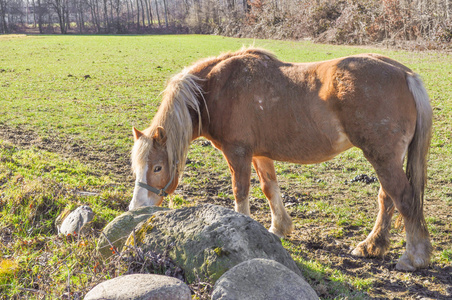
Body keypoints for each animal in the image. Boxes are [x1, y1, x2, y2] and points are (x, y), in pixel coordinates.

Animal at [129, 47, 432, 272]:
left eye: (157, 167)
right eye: (137, 167)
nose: (136, 209)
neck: (217, 87)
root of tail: (406, 74)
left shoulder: (237, 153)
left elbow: (241, 191)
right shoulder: (260, 154)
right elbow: (269, 188)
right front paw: (278, 228)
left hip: (382, 158)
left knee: (403, 199)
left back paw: (413, 258)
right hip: (387, 159)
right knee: (387, 199)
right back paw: (372, 246)